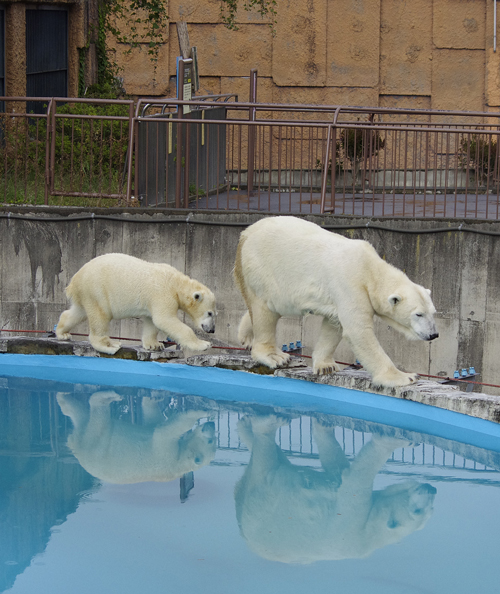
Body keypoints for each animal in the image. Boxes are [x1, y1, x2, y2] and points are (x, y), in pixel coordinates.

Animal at [55, 252, 216, 354]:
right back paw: (110, 345)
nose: (212, 330)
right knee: (100, 316)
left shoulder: (154, 300)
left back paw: (63, 333)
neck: (176, 283)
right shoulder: (163, 294)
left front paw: (155, 345)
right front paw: (204, 344)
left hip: (87, 294)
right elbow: (165, 319)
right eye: (210, 313)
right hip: (97, 289)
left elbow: (152, 322)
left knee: (77, 312)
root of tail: (74, 281)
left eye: (214, 314)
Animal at [56, 390, 217, 484]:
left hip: (96, 442)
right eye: (211, 441)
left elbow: (158, 429)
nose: (212, 425)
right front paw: (204, 411)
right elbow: (161, 428)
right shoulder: (169, 456)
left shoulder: (167, 454)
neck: (180, 464)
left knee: (89, 417)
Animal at [234, 215, 438, 386]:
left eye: (432, 312)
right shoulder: (350, 285)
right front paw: (405, 377)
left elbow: (334, 325)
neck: (369, 269)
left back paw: (246, 336)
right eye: (418, 314)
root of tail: (246, 233)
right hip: (264, 268)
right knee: (265, 310)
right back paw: (274, 356)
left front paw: (326, 366)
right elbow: (358, 331)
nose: (433, 334)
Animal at [236, 414, 436, 560]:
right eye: (418, 511)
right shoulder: (353, 519)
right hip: (264, 504)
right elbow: (356, 476)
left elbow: (337, 470)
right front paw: (397, 440)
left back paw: (245, 425)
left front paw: (324, 426)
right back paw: (268, 424)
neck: (370, 532)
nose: (431, 489)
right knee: (266, 461)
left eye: (430, 511)